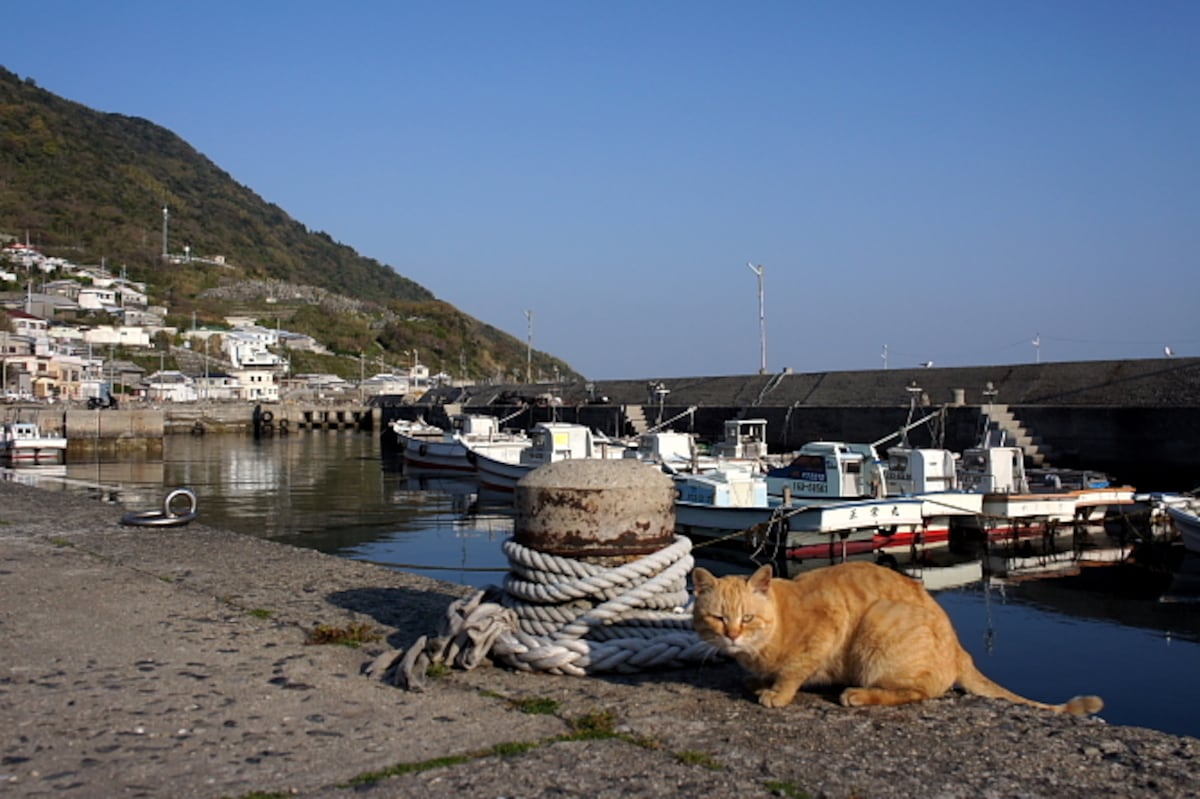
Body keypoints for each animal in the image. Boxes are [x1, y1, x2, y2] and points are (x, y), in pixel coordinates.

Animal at [696, 556, 1104, 710]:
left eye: (748, 618)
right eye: (718, 618)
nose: (732, 635)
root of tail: (962, 651)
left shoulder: (829, 624)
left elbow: (794, 671)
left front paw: (776, 693)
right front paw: (758, 681)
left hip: (879, 621)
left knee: (916, 693)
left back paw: (858, 695)